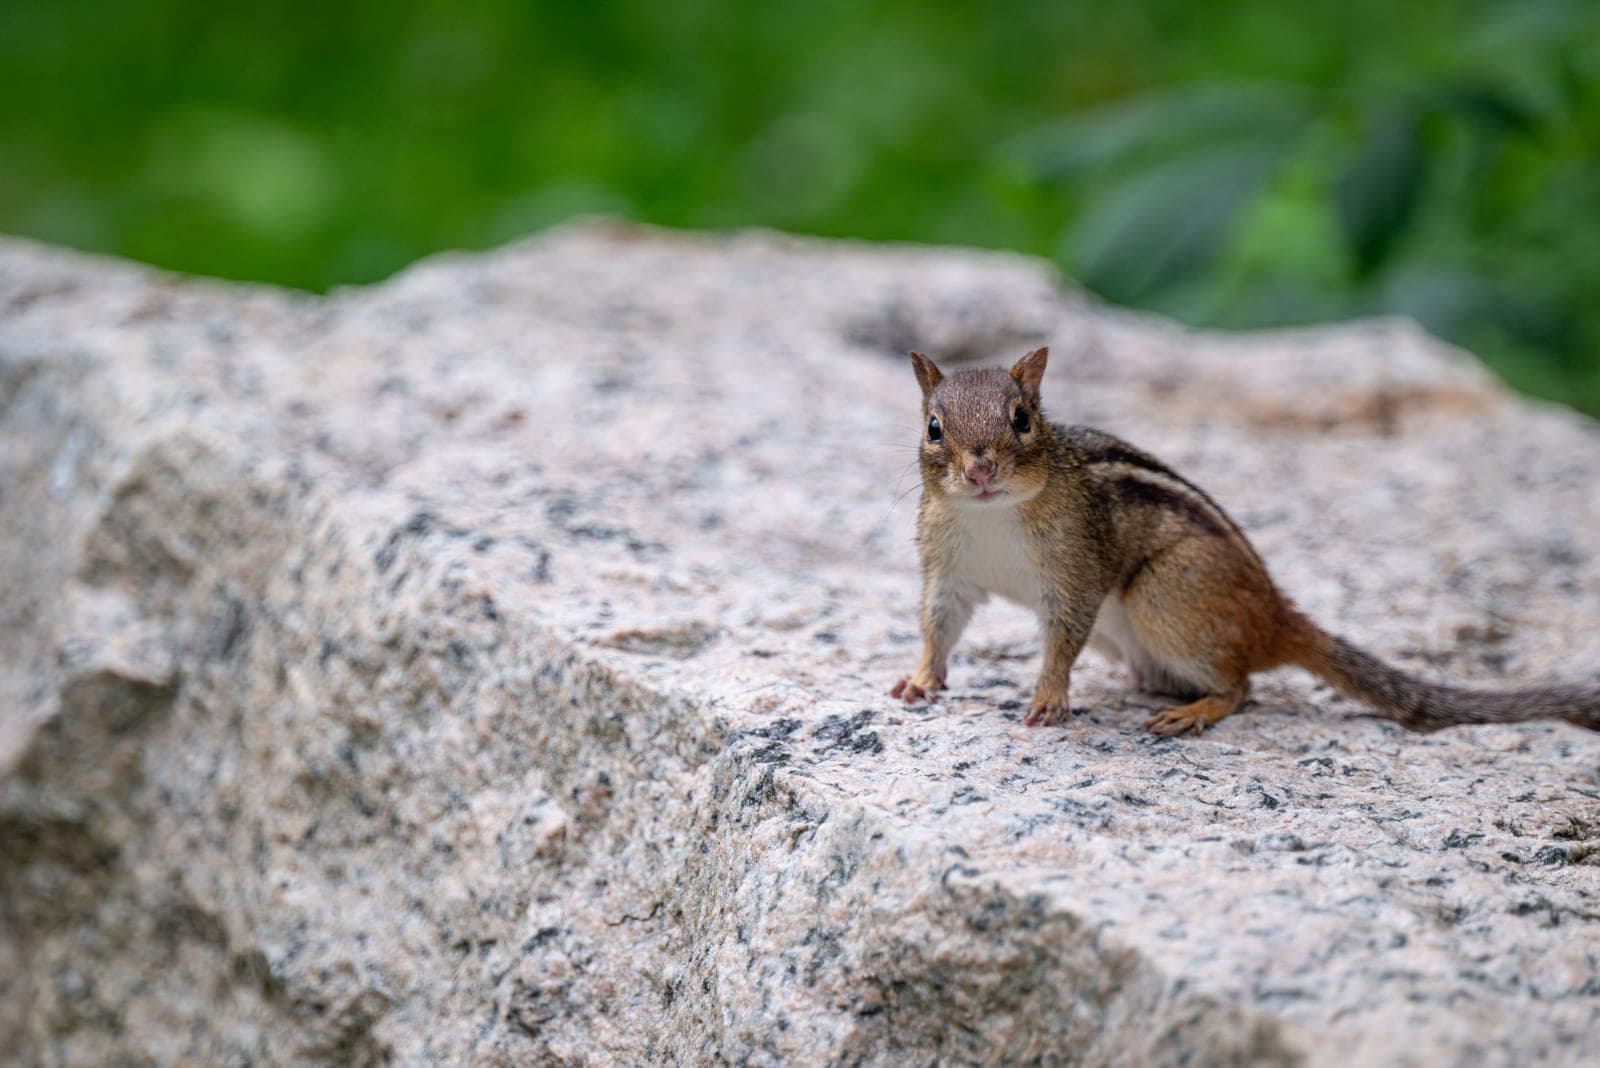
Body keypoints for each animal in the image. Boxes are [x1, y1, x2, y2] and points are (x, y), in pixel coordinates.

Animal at [889, 346, 1600, 736]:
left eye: (1022, 419)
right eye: (933, 427)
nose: (981, 470)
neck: (992, 516)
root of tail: (1275, 614)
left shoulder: (1075, 570)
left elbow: (1063, 638)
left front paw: (1048, 697)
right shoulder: (948, 569)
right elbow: (937, 622)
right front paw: (920, 679)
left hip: (1165, 594)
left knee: (1243, 687)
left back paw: (1195, 712)